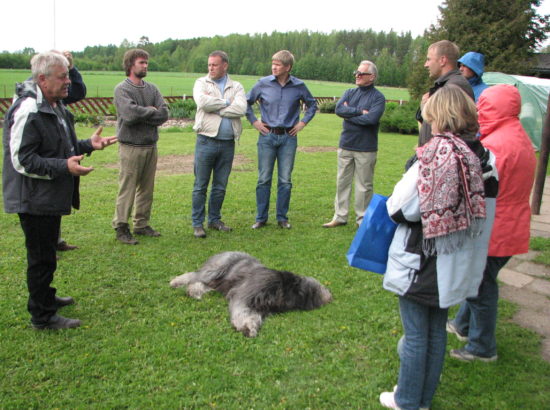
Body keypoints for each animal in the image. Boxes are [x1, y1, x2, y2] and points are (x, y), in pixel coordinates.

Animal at [169, 251, 332, 338]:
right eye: (314, 291)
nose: (329, 297)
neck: (282, 287)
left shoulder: (261, 308)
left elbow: (254, 316)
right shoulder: (244, 296)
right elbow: (244, 312)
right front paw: (247, 327)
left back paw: (194, 291)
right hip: (214, 271)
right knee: (193, 275)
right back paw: (176, 282)